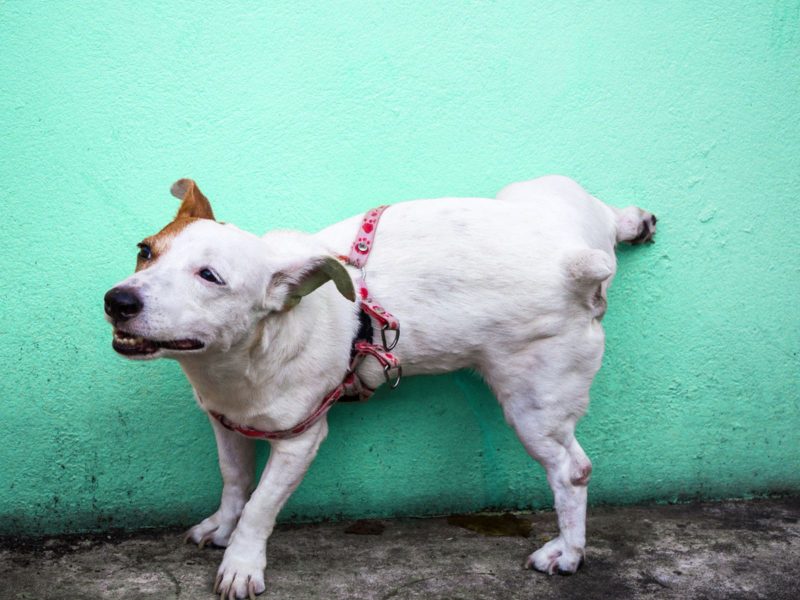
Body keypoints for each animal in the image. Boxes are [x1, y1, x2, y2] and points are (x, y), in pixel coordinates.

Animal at [106, 176, 656, 596]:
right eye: (144, 251)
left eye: (210, 277)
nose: (118, 301)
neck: (241, 358)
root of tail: (574, 260)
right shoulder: (227, 422)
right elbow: (235, 480)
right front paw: (222, 527)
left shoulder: (300, 440)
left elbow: (261, 505)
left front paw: (241, 563)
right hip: (539, 194)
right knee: (599, 209)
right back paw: (633, 221)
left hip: (533, 405)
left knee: (572, 471)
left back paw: (568, 553)